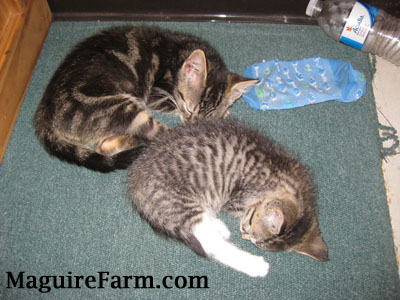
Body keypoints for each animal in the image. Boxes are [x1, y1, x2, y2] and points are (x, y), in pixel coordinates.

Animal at [32, 27, 255, 172]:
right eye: (189, 109)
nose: (194, 124)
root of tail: (44, 115)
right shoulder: (154, 95)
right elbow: (172, 106)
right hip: (122, 107)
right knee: (157, 134)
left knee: (102, 146)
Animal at [128, 118, 328, 278]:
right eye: (250, 223)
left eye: (253, 236)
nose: (244, 234)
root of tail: (135, 184)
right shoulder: (237, 199)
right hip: (178, 200)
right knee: (210, 244)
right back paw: (254, 264)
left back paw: (219, 226)